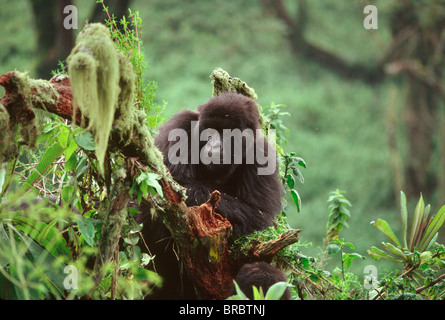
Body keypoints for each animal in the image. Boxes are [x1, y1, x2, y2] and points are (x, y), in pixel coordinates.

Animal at [139, 91, 292, 298]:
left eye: (227, 134)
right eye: (209, 132)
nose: (213, 146)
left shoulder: (263, 154)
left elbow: (258, 219)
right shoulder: (179, 125)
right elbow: (164, 188)